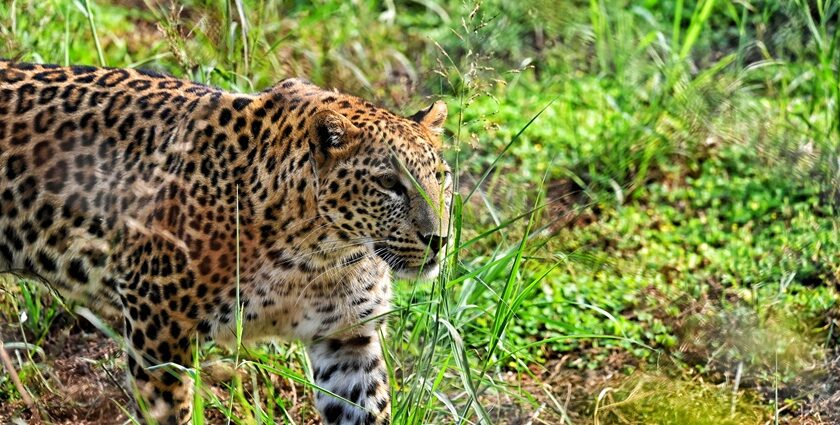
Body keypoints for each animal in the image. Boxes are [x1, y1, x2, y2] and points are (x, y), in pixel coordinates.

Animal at [0, 60, 452, 424]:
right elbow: (167, 410)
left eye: (440, 177)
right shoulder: (158, 322)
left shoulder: (348, 339)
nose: (440, 239)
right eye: (388, 183)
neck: (319, 257)